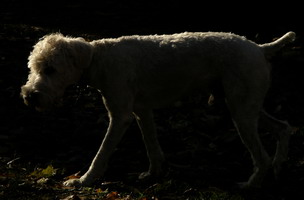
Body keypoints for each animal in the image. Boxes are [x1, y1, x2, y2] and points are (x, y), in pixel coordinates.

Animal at [20, 30, 294, 188]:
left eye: (50, 69)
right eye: (33, 67)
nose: (29, 96)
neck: (98, 59)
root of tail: (260, 48)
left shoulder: (120, 117)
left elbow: (102, 152)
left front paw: (85, 180)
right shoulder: (142, 112)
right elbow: (152, 146)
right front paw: (153, 174)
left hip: (242, 112)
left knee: (262, 156)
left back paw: (250, 184)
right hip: (246, 106)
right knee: (284, 128)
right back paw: (280, 166)